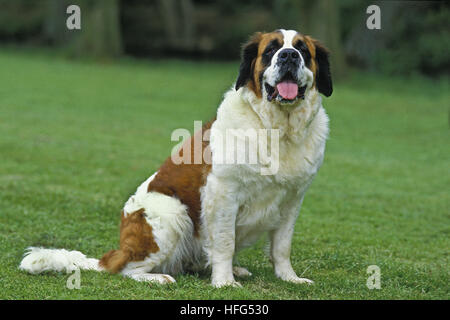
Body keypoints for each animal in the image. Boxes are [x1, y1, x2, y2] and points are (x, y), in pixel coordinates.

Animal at [20, 28, 330, 288]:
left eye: (303, 50)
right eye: (271, 50)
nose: (289, 55)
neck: (278, 130)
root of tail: (117, 252)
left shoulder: (293, 199)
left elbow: (282, 245)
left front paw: (289, 278)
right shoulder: (222, 192)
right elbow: (224, 242)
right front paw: (224, 282)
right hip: (171, 211)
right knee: (127, 270)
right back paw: (159, 278)